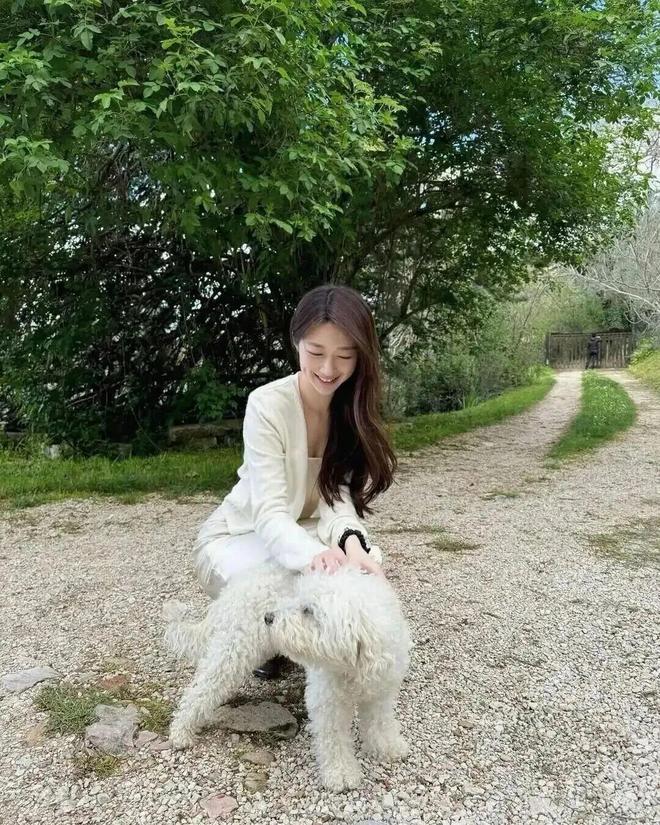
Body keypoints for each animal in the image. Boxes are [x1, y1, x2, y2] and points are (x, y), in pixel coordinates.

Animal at [164, 561, 412, 791]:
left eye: (308, 610)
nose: (268, 617)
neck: (353, 666)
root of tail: (234, 587)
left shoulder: (381, 694)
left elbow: (380, 723)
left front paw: (386, 746)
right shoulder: (327, 702)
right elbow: (334, 739)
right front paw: (340, 772)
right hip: (232, 651)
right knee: (198, 691)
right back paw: (181, 731)